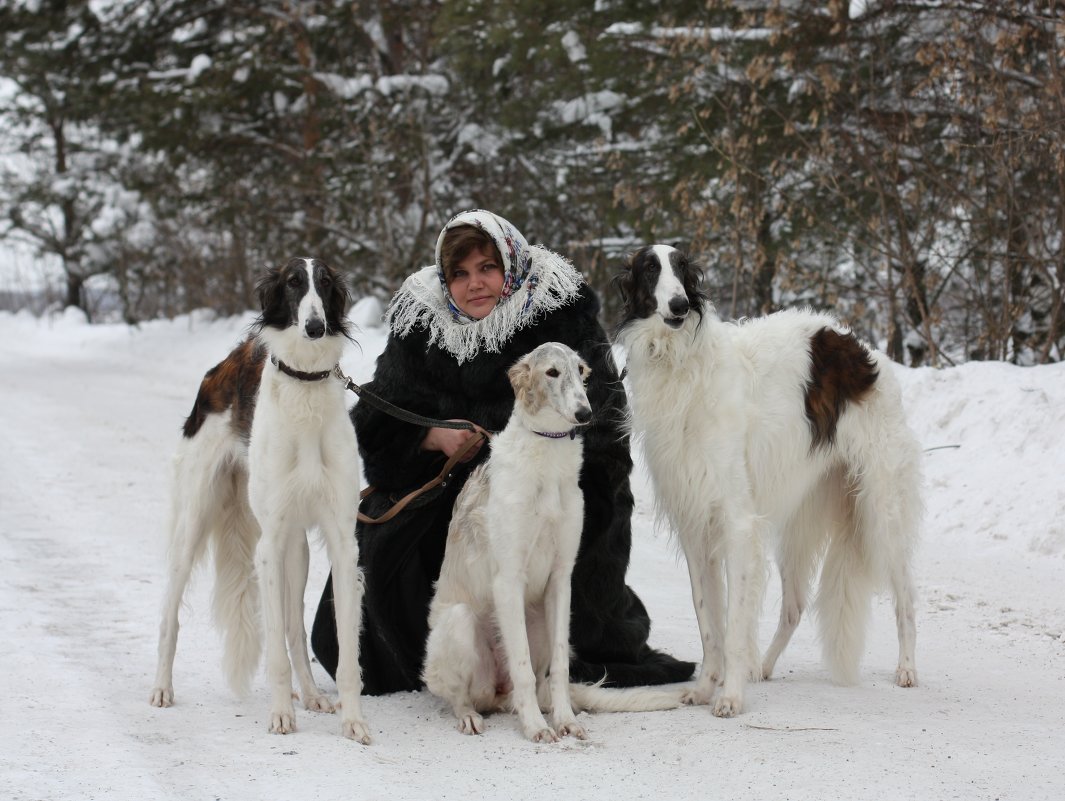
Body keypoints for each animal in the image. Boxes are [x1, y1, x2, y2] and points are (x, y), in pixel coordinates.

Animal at [148, 256, 368, 745]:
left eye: (325, 283)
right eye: (292, 283)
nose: (314, 326)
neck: (305, 381)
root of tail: (224, 365)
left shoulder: (342, 540)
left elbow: (344, 653)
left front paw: (352, 721)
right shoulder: (268, 545)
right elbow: (275, 653)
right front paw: (281, 716)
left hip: (297, 547)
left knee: (293, 630)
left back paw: (312, 696)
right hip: (195, 518)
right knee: (170, 615)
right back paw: (161, 688)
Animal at [617, 243, 924, 720]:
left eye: (682, 270)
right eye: (649, 269)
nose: (680, 306)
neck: (682, 364)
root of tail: (863, 350)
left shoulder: (738, 522)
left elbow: (734, 623)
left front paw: (730, 696)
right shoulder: (696, 526)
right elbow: (710, 624)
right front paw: (704, 689)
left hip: (881, 506)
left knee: (905, 597)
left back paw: (906, 669)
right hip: (800, 522)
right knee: (795, 607)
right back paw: (762, 666)